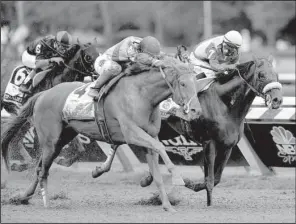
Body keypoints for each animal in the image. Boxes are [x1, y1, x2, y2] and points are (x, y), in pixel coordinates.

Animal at [1, 57, 199, 213]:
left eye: (196, 82)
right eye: (183, 83)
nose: (196, 110)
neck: (141, 94)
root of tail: (43, 94)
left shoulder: (148, 137)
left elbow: (156, 170)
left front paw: (167, 205)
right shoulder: (131, 133)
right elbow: (160, 148)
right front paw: (178, 178)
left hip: (62, 139)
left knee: (40, 166)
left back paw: (24, 196)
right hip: (50, 140)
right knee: (42, 169)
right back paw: (45, 201)